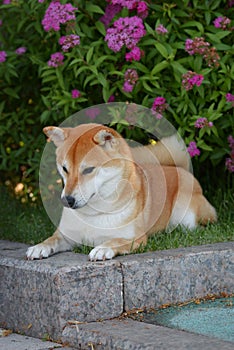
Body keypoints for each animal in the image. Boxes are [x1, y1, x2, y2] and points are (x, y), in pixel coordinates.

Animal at [26, 123, 217, 260]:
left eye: (88, 170)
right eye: (64, 168)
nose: (67, 200)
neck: (92, 214)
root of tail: (179, 169)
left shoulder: (136, 239)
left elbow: (115, 241)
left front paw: (102, 249)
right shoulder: (65, 235)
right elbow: (52, 239)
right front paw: (39, 247)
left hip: (185, 217)